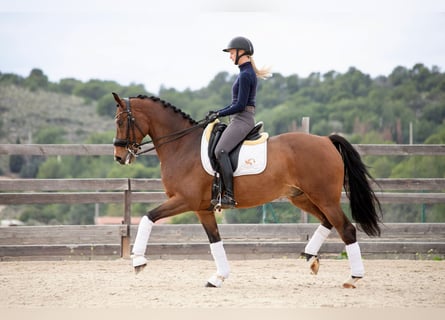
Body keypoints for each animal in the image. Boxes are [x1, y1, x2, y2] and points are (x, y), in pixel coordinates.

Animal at [112, 92, 382, 288]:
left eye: (121, 121)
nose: (119, 157)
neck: (182, 146)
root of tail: (326, 140)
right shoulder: (203, 209)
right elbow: (215, 241)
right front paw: (218, 277)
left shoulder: (185, 200)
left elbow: (148, 217)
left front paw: (138, 261)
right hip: (302, 197)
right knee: (328, 221)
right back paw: (311, 258)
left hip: (324, 197)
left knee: (346, 228)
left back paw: (352, 277)